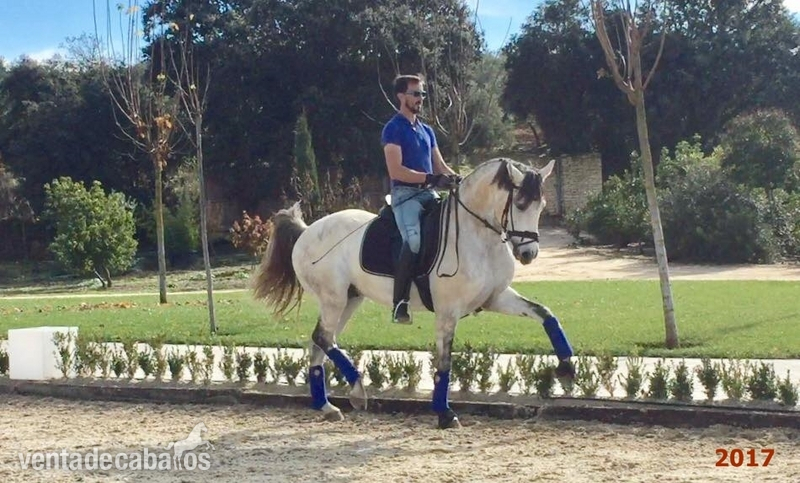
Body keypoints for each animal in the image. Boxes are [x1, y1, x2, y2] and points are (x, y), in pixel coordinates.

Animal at [251, 157, 576, 429]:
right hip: (334, 299)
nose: (529, 254)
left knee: (320, 342)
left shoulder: (495, 297)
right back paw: (356, 388)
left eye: (541, 205)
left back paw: (327, 406)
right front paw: (444, 413)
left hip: (349, 300)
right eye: (520, 204)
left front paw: (566, 366)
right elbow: (444, 362)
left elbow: (546, 314)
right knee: (323, 338)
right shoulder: (448, 311)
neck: (479, 235)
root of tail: (306, 231)